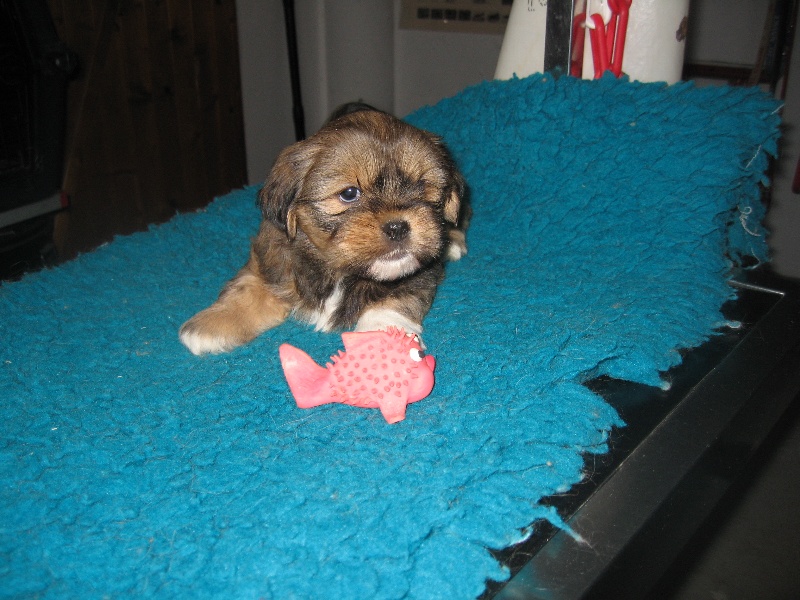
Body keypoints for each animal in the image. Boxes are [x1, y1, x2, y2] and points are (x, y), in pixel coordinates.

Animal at [179, 103, 469, 355]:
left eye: (423, 187)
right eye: (349, 194)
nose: (397, 226)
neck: (339, 270)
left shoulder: (417, 275)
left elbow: (394, 298)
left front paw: (383, 334)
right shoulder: (271, 259)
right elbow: (247, 286)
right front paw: (209, 324)